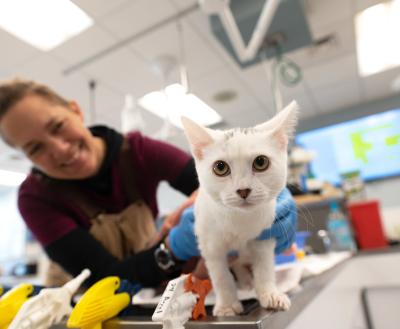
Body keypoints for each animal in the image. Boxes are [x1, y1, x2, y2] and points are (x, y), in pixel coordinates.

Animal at [180, 100, 296, 316]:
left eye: (261, 162)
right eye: (220, 167)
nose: (243, 190)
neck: (240, 220)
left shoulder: (265, 236)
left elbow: (264, 267)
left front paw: (269, 293)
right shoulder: (210, 245)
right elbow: (220, 275)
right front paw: (227, 305)